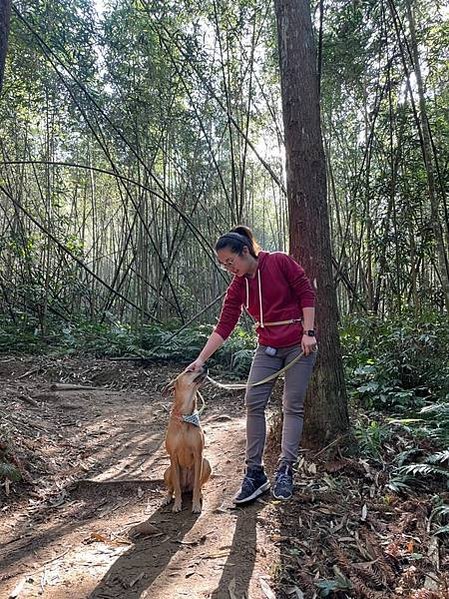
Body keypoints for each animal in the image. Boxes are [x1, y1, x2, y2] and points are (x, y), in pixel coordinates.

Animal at [162, 368, 211, 512]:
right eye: (189, 370)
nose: (205, 367)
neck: (185, 416)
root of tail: (186, 488)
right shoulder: (172, 456)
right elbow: (176, 488)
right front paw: (177, 505)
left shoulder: (198, 454)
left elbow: (197, 485)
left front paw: (196, 505)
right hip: (167, 471)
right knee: (172, 488)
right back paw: (167, 499)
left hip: (206, 464)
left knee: (197, 486)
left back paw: (199, 495)